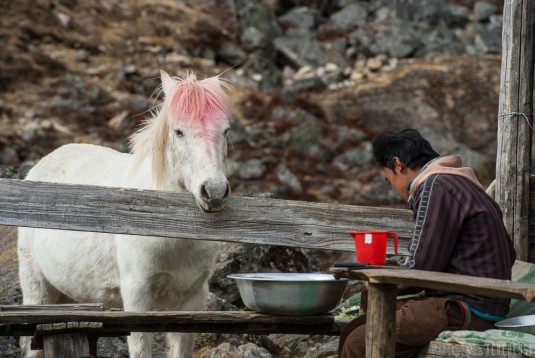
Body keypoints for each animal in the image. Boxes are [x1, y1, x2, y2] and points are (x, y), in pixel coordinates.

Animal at [19, 70, 232, 358]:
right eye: (179, 131)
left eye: (225, 129)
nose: (215, 191)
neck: (173, 232)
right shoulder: (137, 296)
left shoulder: (192, 298)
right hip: (38, 291)